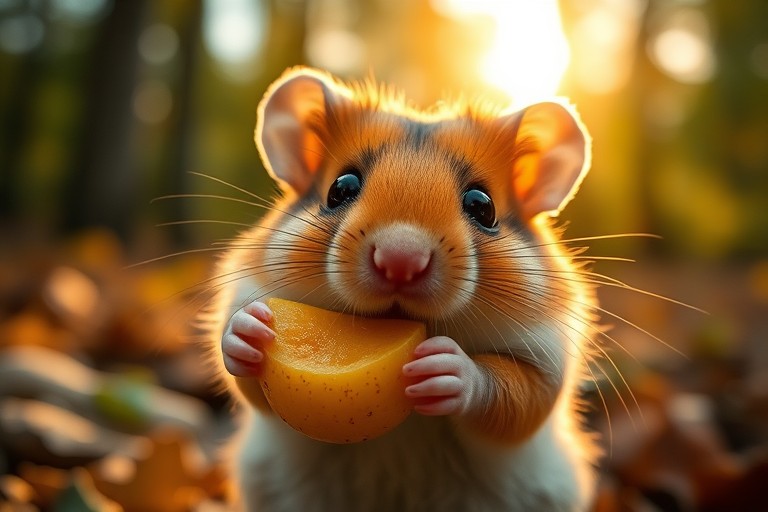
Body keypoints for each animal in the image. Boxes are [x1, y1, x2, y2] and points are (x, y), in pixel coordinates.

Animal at [201, 67, 600, 512]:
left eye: (483, 207)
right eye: (340, 188)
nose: (400, 260)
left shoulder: (545, 359)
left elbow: (511, 395)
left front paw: (445, 367)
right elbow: (243, 373)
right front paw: (249, 329)